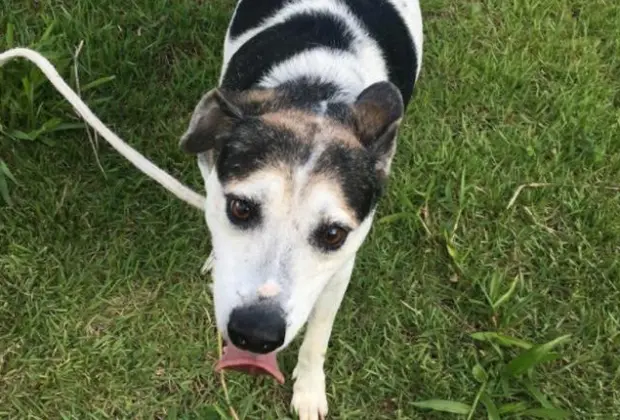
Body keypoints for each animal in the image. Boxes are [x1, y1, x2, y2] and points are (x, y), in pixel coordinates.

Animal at [178, 1, 422, 418]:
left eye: (333, 234)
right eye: (240, 208)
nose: (255, 334)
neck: (316, 94)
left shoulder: (341, 268)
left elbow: (318, 336)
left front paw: (309, 390)